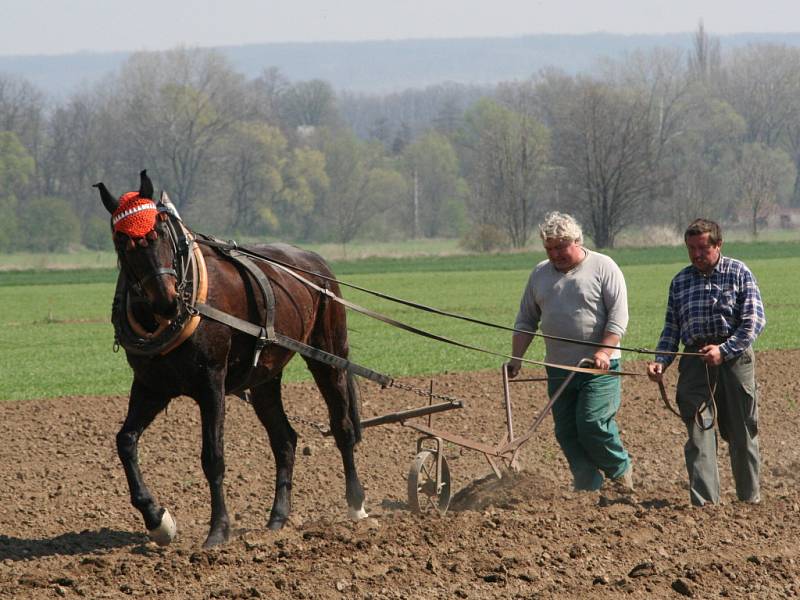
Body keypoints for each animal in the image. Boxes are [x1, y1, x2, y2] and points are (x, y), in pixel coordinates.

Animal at [95, 169, 368, 548]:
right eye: (123, 242)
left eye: (160, 231)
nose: (167, 301)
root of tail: (315, 260)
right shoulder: (152, 386)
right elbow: (125, 441)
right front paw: (157, 519)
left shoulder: (211, 382)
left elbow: (213, 456)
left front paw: (218, 530)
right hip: (265, 377)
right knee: (284, 440)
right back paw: (277, 517)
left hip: (328, 355)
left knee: (342, 427)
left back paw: (356, 504)